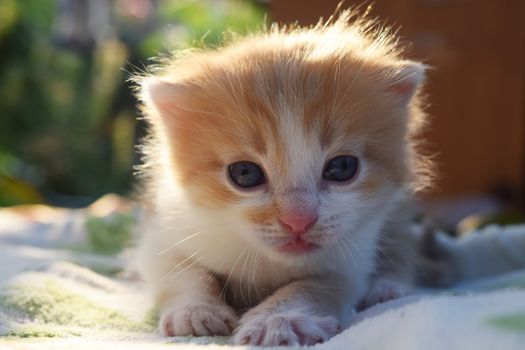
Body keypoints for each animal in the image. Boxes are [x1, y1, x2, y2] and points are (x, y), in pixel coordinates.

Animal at [133, 9, 428, 346]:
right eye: (245, 173)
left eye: (342, 168)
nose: (298, 221)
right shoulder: (165, 228)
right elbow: (180, 271)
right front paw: (194, 311)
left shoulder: (350, 258)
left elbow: (313, 286)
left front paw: (278, 320)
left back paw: (387, 288)